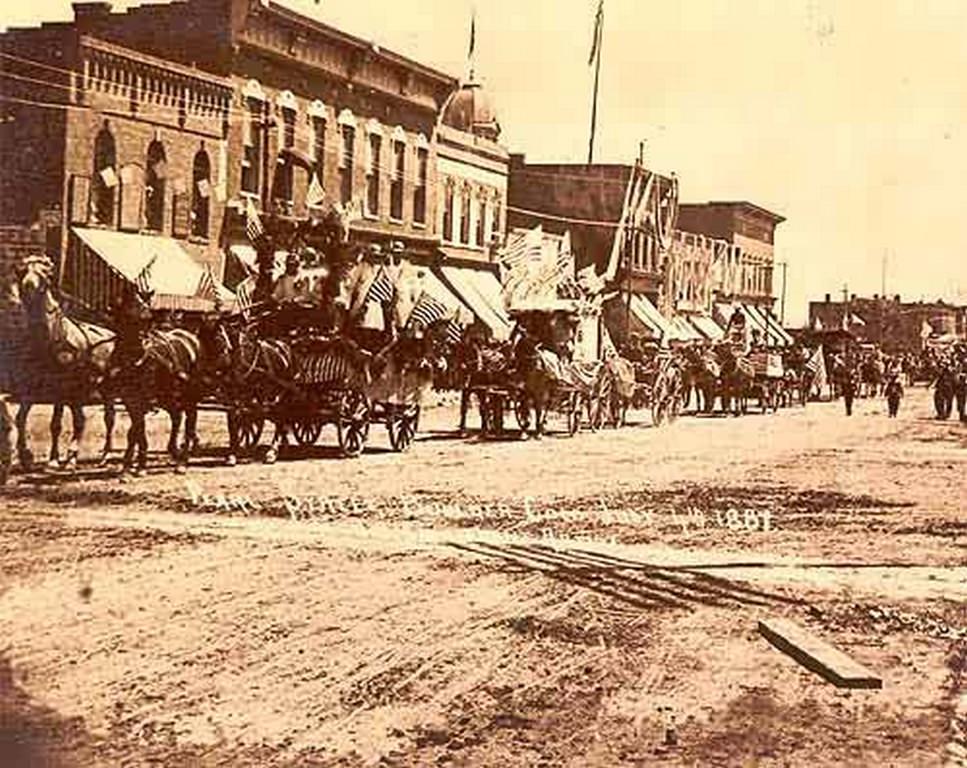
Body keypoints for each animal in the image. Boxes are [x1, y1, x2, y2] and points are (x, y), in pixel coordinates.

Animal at [10, 260, 116, 472]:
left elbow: (59, 423)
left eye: (45, 273)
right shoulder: (33, 384)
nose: (29, 286)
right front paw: (27, 457)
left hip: (103, 388)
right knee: (83, 418)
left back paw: (104, 455)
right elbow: (21, 418)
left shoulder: (62, 385)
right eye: (23, 271)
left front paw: (58, 458)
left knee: (108, 418)